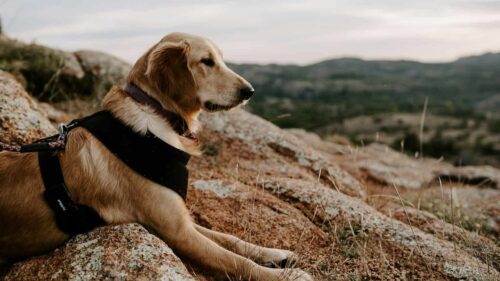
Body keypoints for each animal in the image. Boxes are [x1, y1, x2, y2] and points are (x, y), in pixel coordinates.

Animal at [0, 33, 312, 280]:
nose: (250, 91)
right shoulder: (177, 232)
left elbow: (231, 240)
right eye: (206, 61)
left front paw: (275, 254)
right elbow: (234, 260)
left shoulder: (180, 218)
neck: (157, 114)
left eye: (221, 59)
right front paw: (288, 276)